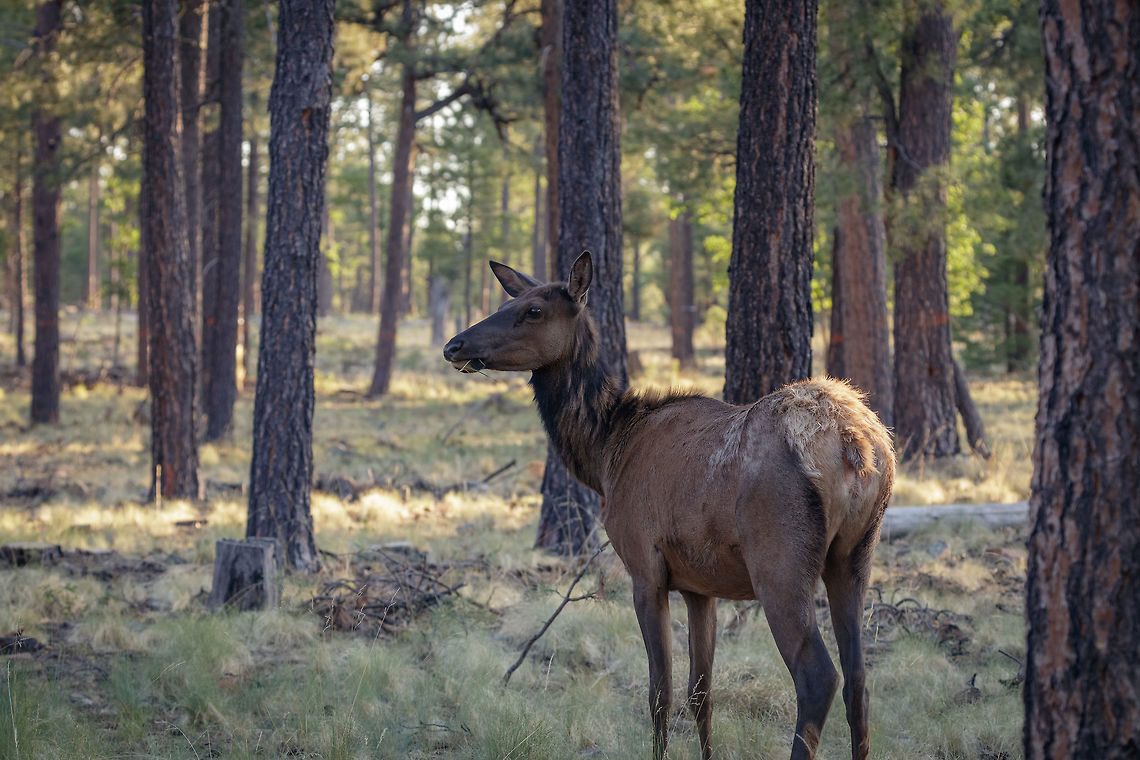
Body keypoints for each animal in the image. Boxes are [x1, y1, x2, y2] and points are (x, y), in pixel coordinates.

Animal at [443, 251, 895, 760]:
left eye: (533, 310)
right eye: (508, 301)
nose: (454, 345)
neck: (606, 453)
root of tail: (857, 446)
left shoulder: (645, 568)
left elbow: (660, 692)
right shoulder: (701, 585)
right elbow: (702, 694)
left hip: (780, 563)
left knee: (818, 676)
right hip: (855, 556)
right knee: (860, 680)